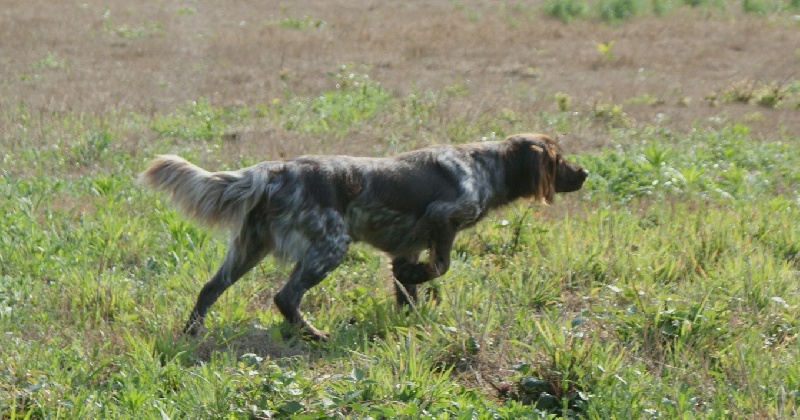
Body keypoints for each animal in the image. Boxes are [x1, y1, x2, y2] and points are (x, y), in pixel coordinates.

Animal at [139, 133, 588, 340]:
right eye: (560, 158)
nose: (584, 172)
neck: (485, 165)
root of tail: (273, 171)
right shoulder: (444, 219)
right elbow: (439, 267)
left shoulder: (406, 248)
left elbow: (408, 291)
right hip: (330, 247)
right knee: (285, 297)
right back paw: (314, 334)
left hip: (249, 248)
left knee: (208, 289)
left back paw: (192, 333)